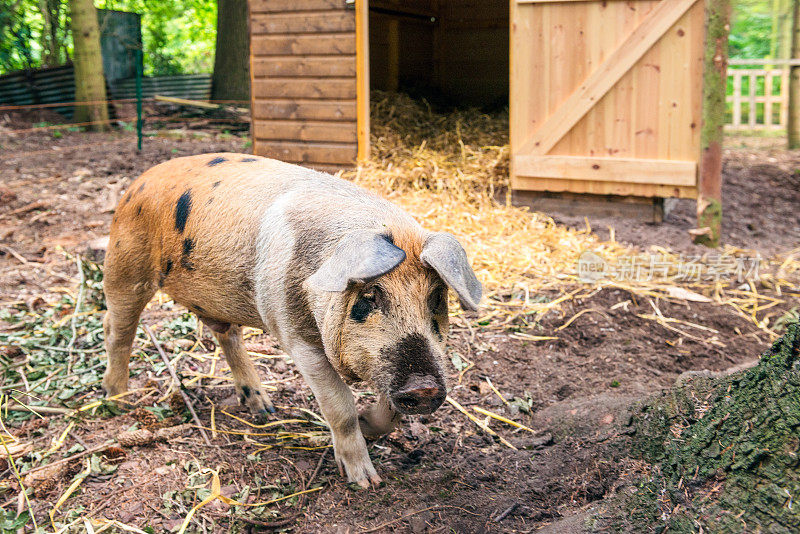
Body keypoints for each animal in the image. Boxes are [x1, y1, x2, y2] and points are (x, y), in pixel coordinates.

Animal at [101, 153, 482, 488]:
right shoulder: (298, 339)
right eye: (369, 296)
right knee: (117, 329)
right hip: (125, 267)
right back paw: (118, 399)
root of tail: (138, 183)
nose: (423, 386)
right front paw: (366, 482)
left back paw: (264, 408)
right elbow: (340, 407)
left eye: (435, 297)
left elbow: (392, 413)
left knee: (227, 336)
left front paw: (368, 426)